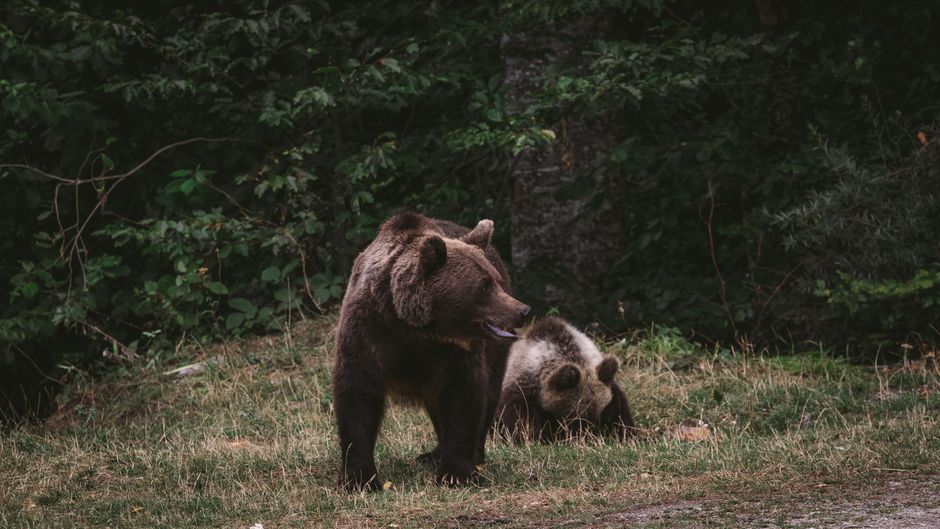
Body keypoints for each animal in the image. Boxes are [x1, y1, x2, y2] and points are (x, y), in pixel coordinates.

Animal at [332, 212, 530, 491]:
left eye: (497, 281)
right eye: (484, 286)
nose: (523, 311)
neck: (414, 328)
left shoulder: (453, 352)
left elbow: (463, 396)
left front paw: (457, 472)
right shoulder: (368, 333)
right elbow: (357, 395)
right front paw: (358, 479)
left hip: (495, 352)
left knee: (488, 394)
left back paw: (468, 455)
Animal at [496, 316, 635, 442]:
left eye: (601, 413)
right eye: (576, 418)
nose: (590, 437)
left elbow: (620, 411)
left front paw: (626, 434)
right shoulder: (522, 385)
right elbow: (519, 415)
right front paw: (533, 437)